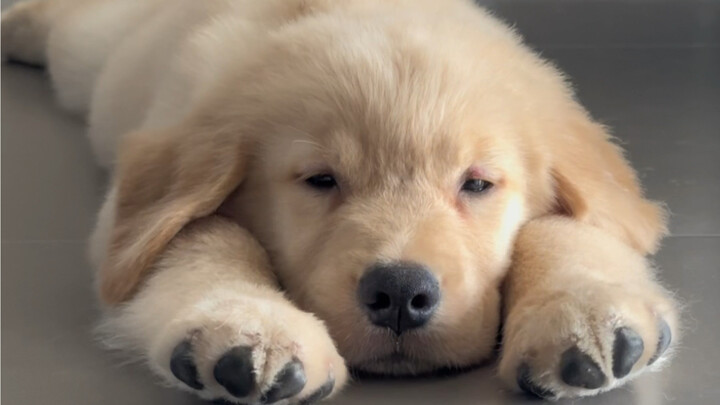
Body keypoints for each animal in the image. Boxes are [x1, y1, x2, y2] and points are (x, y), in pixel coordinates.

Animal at [2, 0, 676, 400]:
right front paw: (249, 325)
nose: (400, 294)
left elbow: (570, 227)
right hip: (92, 56)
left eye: (477, 184)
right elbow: (200, 232)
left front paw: (587, 310)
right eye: (321, 180)